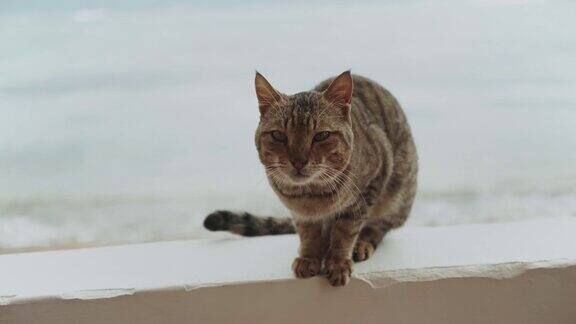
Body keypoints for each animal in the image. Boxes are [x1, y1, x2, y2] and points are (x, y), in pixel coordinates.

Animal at [205, 71, 416, 286]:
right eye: (278, 135)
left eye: (321, 135)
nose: (298, 161)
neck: (312, 195)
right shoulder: (300, 213)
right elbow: (308, 234)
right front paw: (309, 257)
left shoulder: (371, 183)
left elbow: (345, 231)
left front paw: (338, 262)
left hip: (397, 195)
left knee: (380, 226)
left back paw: (362, 243)